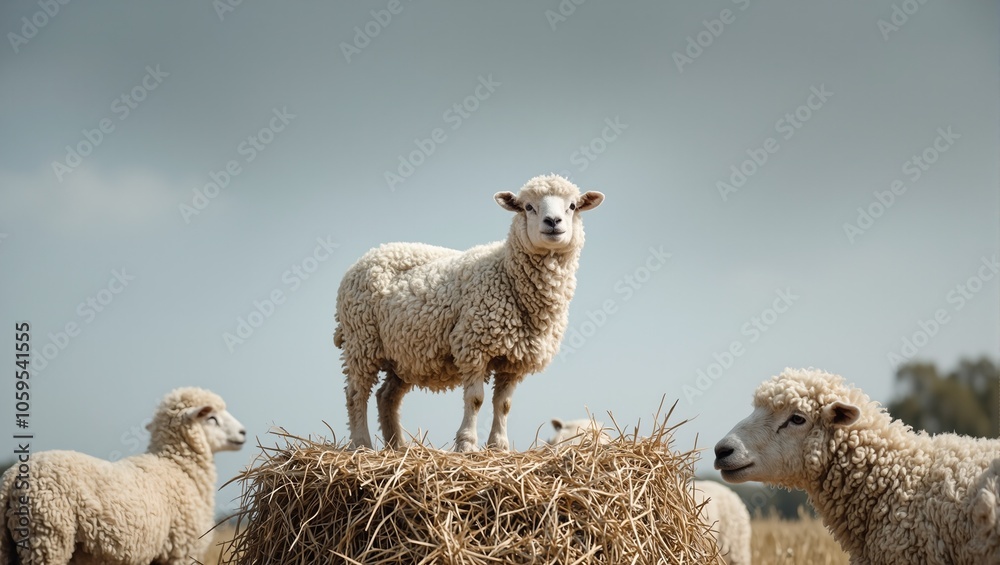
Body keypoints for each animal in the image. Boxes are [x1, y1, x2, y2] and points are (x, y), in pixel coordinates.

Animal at [0, 387, 246, 565]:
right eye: (211, 418)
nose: (243, 432)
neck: (177, 466)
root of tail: (11, 477)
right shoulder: (180, 551)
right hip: (48, 536)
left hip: (10, 544)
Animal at [334, 174, 604, 452]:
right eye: (528, 207)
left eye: (572, 206)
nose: (553, 222)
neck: (506, 271)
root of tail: (371, 253)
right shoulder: (473, 345)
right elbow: (476, 399)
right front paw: (467, 444)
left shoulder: (515, 359)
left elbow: (504, 405)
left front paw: (499, 446)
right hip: (362, 341)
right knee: (356, 393)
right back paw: (361, 444)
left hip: (403, 354)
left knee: (386, 396)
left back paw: (397, 445)